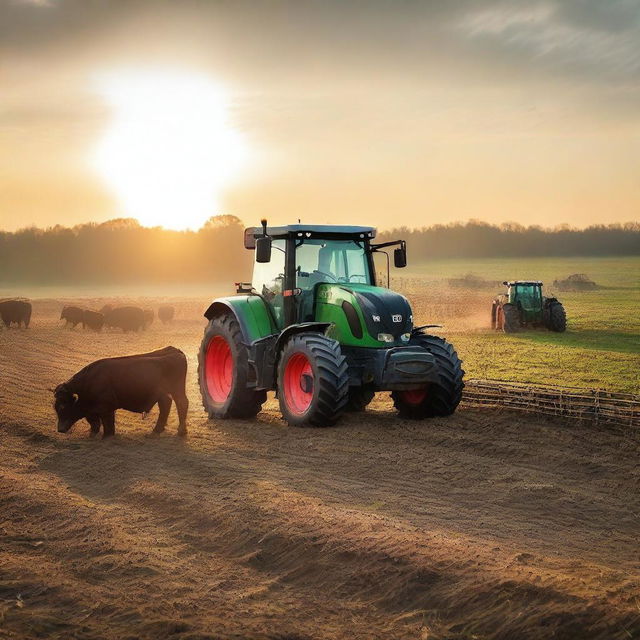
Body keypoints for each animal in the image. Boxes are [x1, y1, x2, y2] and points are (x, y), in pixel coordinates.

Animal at [53, 344, 188, 440]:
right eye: (55, 406)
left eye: (64, 406)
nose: (60, 429)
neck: (87, 384)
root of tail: (176, 351)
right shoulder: (91, 411)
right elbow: (95, 423)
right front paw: (92, 435)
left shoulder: (106, 408)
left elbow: (108, 424)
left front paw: (107, 438)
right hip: (164, 394)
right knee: (167, 405)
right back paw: (157, 432)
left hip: (177, 391)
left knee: (181, 404)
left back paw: (179, 432)